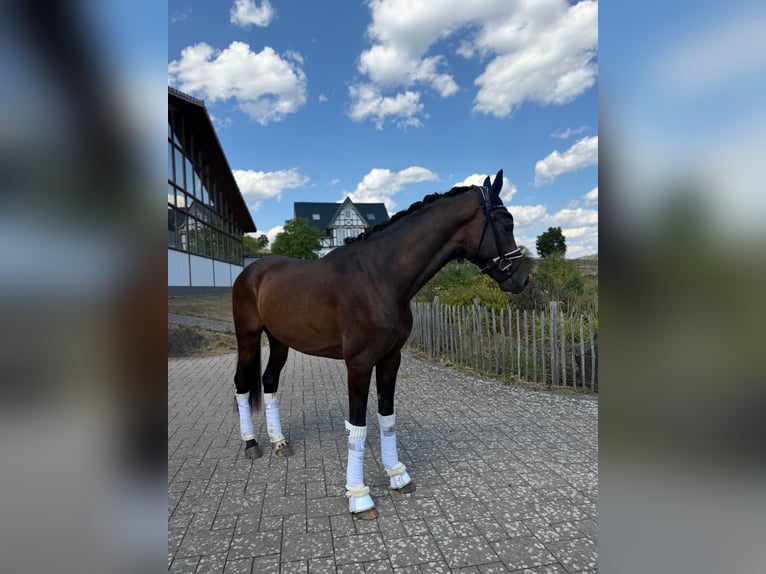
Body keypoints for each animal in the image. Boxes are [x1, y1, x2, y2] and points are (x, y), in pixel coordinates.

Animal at [231, 170, 529, 519]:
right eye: (506, 224)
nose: (522, 278)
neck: (380, 276)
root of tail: (251, 271)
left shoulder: (390, 358)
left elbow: (387, 417)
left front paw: (397, 475)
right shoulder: (359, 364)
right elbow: (357, 426)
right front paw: (359, 497)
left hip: (279, 341)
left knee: (269, 381)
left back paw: (279, 442)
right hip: (248, 337)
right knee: (241, 383)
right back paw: (252, 444)